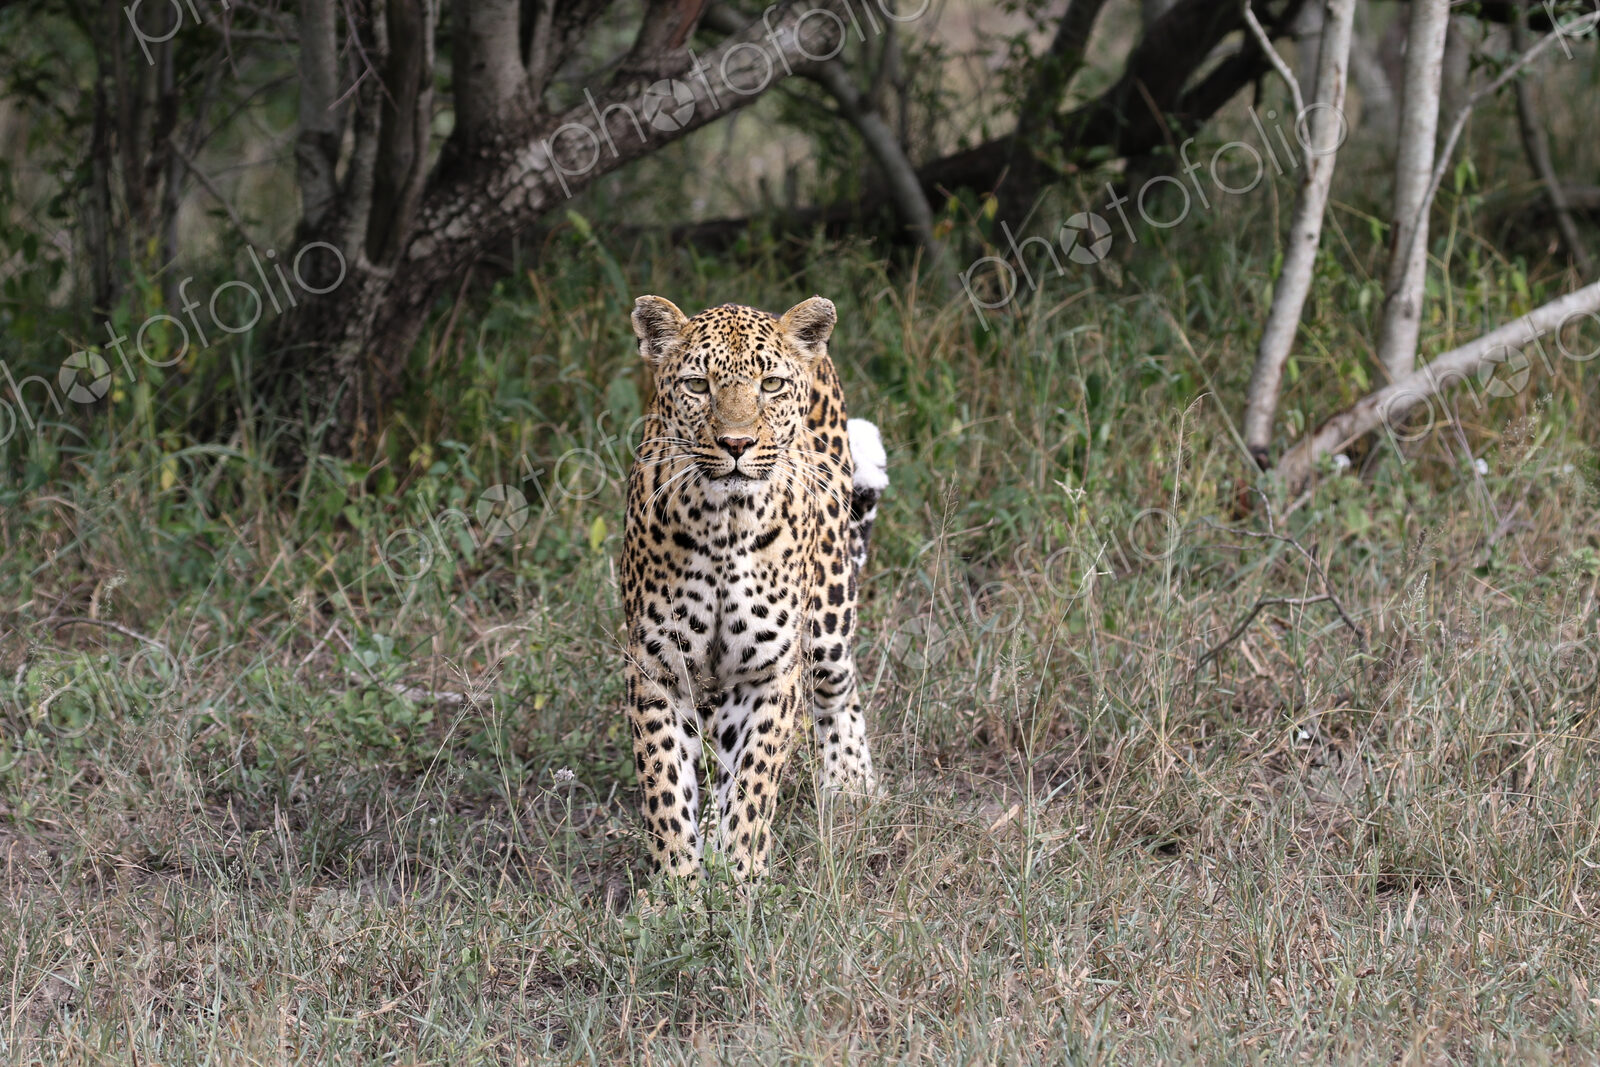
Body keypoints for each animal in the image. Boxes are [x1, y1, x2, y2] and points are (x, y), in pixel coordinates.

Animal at [621, 294, 887, 882]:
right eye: (698, 385)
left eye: (771, 384)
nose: (737, 444)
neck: (725, 523)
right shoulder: (657, 668)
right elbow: (666, 788)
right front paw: (679, 886)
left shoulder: (768, 672)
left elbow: (753, 784)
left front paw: (739, 879)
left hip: (828, 617)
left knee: (839, 689)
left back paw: (853, 784)